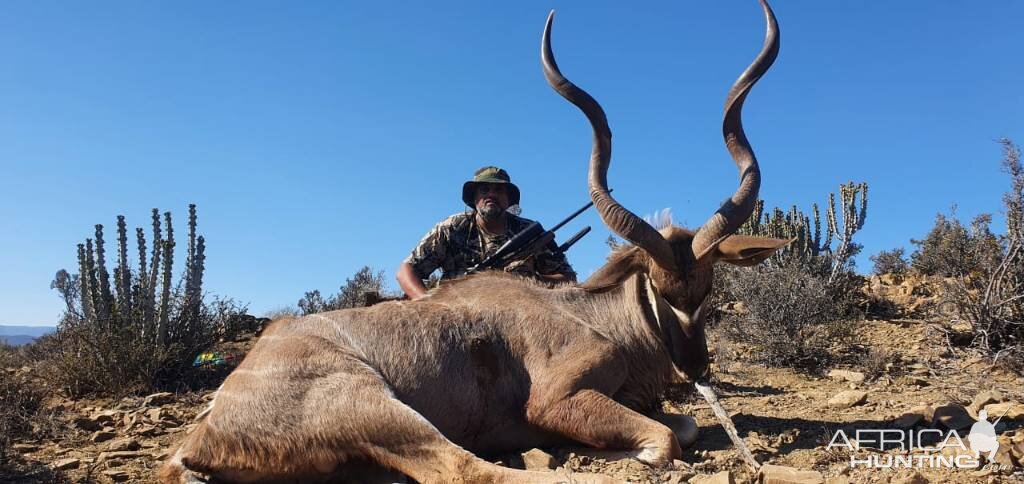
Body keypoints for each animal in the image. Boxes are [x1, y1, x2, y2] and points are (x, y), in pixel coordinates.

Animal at [163, 1, 790, 480]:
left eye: (708, 288)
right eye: (659, 288)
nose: (696, 367)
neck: (596, 316)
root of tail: (203, 434)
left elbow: (683, 425)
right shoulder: (559, 400)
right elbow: (663, 440)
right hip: (376, 407)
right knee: (469, 469)